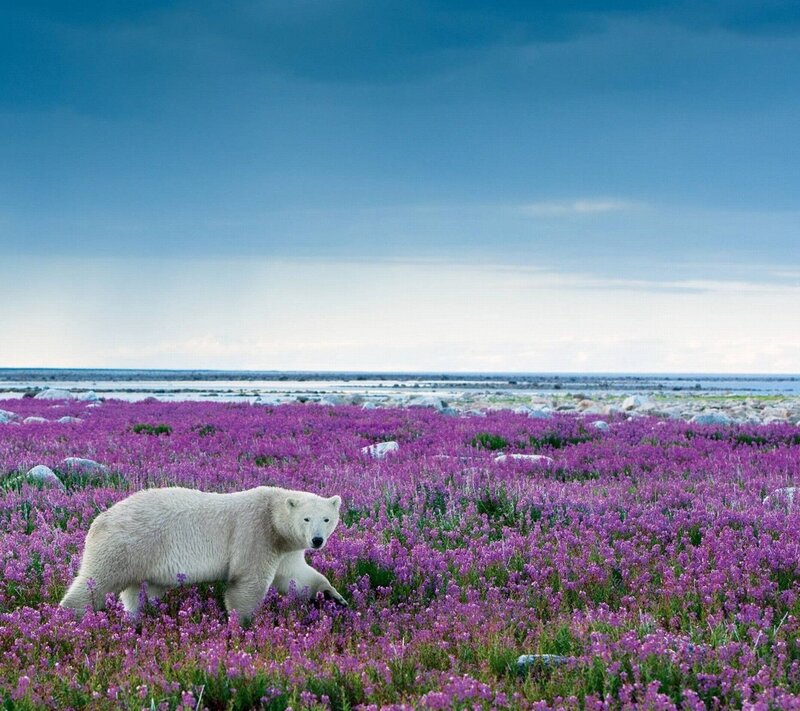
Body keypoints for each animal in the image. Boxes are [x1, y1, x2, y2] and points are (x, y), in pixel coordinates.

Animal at [59, 486, 346, 622]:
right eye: (306, 518)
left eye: (327, 518)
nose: (317, 540)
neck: (273, 519)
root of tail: (100, 519)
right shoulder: (255, 533)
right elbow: (247, 583)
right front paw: (242, 623)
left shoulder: (286, 548)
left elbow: (297, 576)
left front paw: (333, 596)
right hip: (127, 545)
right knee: (96, 582)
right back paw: (69, 618)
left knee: (138, 593)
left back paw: (136, 618)